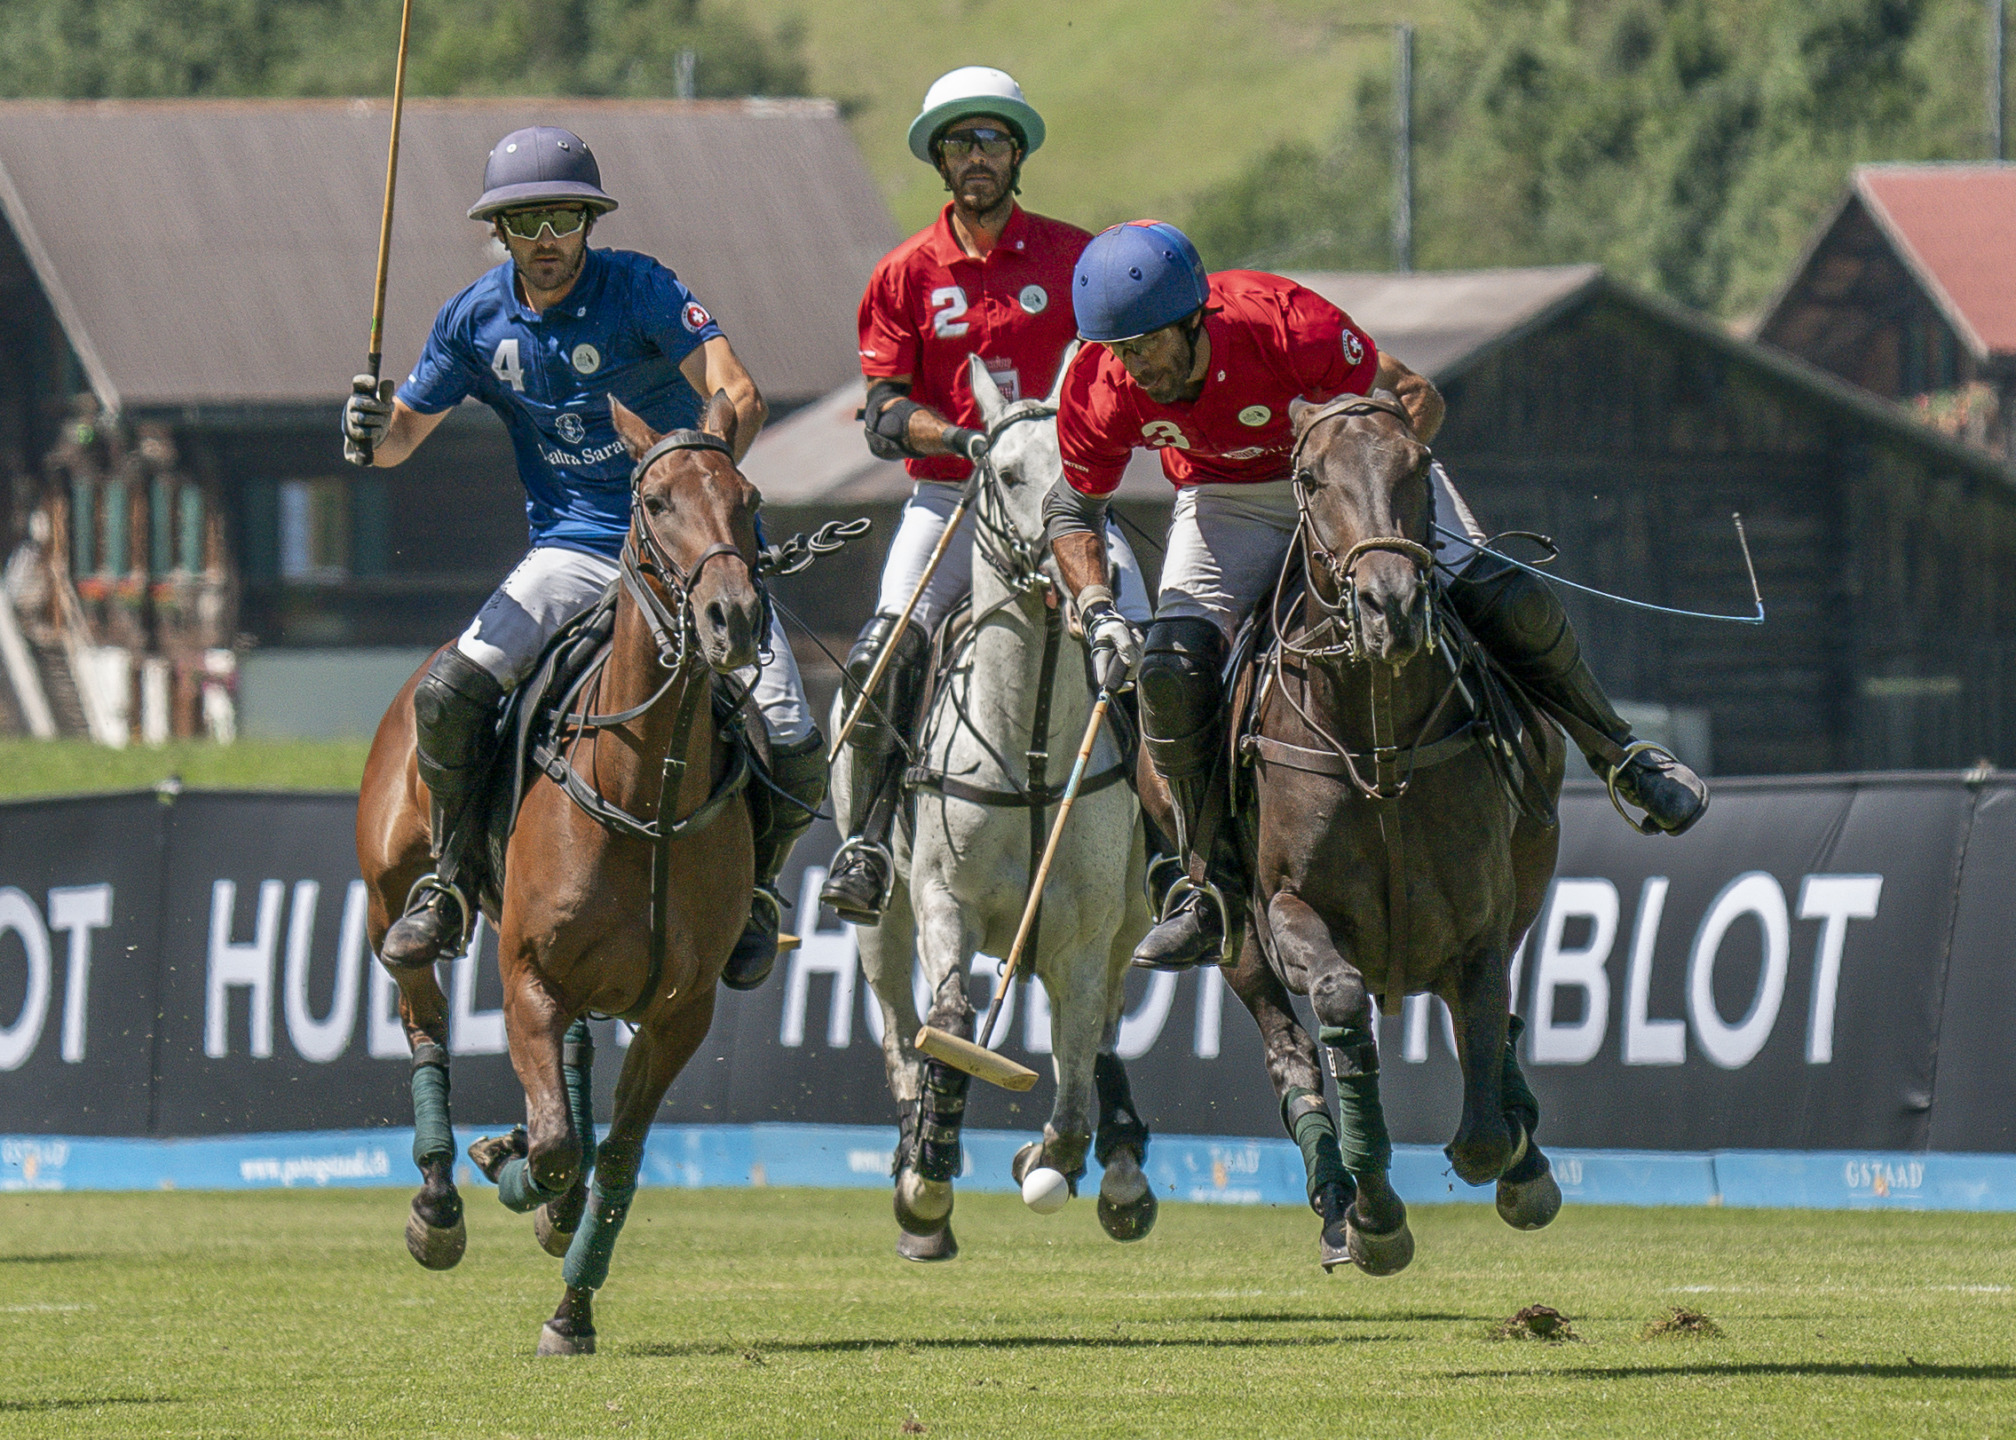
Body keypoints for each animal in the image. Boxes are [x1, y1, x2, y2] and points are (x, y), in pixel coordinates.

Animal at [354, 389, 762, 1347]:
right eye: (657, 504)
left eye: (749, 500)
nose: (733, 618)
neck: (648, 791)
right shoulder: (528, 976)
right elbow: (554, 1149)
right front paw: (510, 1167)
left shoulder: (680, 1009)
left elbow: (613, 1161)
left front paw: (572, 1310)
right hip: (390, 895)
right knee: (424, 1019)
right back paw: (439, 1203)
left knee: (573, 1073)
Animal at [830, 350, 1153, 1258]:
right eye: (1004, 473)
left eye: (1086, 474)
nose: (1089, 572)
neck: (1034, 748)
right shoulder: (947, 899)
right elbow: (949, 1018)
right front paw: (929, 1176)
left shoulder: (1083, 932)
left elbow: (1074, 1082)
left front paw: (1050, 1158)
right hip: (881, 917)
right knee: (897, 1025)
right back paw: (915, 1161)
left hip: (1135, 917)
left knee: (1106, 1024)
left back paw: (1123, 1166)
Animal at [1201, 389, 1564, 1266]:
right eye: (1309, 476)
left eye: (1420, 464)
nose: (1390, 606)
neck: (1380, 739)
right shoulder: (1285, 903)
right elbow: (1338, 1004)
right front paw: (1375, 1215)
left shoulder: (1481, 917)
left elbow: (1483, 1073)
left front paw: (1517, 1156)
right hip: (1232, 939)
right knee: (1291, 1052)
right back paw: (1337, 1199)